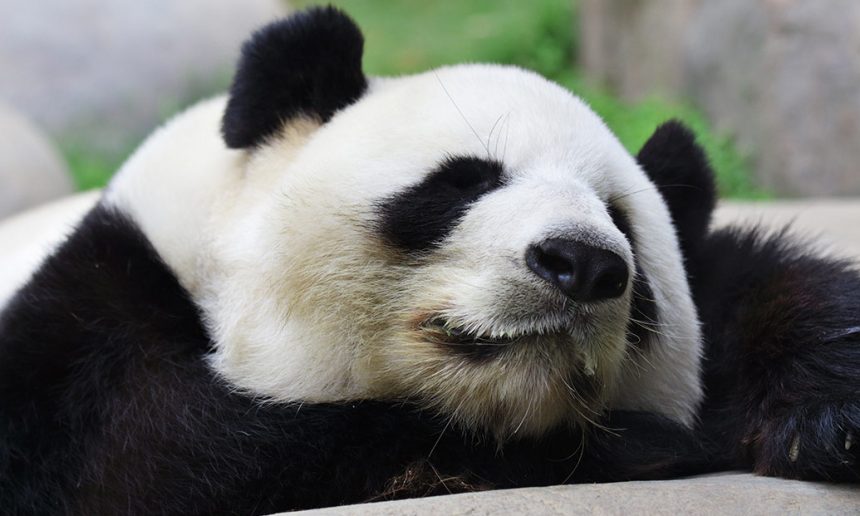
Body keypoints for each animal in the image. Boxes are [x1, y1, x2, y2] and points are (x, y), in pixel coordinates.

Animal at [1, 7, 858, 515]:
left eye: (621, 223)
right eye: (465, 180)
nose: (581, 263)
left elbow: (759, 284)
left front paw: (825, 414)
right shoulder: (92, 326)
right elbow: (159, 457)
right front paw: (647, 443)